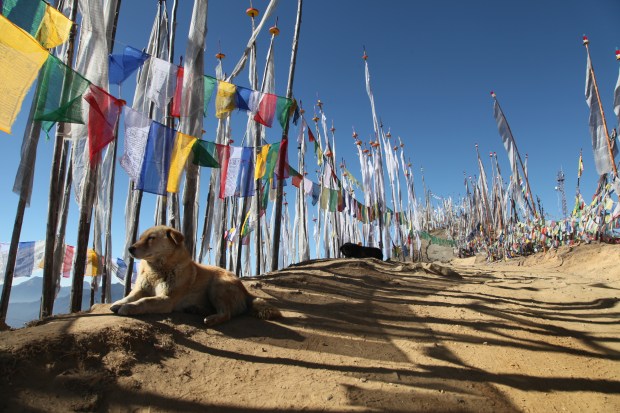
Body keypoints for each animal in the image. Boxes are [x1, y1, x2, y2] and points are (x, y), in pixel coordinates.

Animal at [111, 225, 280, 326]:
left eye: (151, 238)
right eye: (140, 237)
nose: (130, 249)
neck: (158, 270)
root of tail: (244, 290)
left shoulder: (167, 299)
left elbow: (144, 301)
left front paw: (128, 307)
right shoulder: (140, 289)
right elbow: (130, 297)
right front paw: (119, 303)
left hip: (218, 286)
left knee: (227, 313)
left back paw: (211, 318)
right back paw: (196, 309)